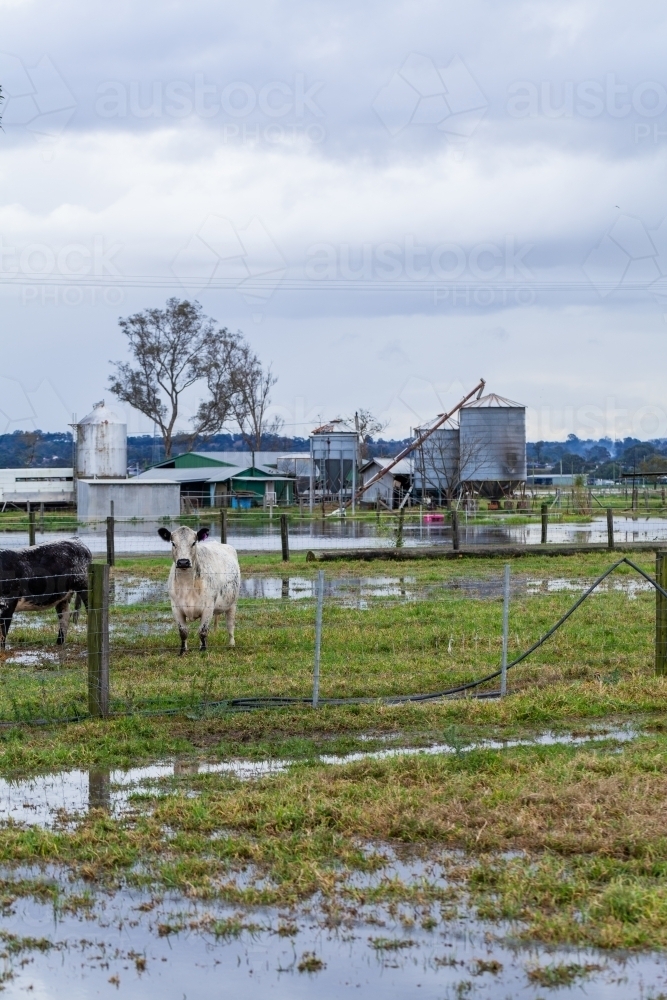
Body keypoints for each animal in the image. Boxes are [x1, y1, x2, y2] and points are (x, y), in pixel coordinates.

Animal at [158, 524, 241, 656]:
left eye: (193, 542)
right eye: (173, 543)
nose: (183, 562)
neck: (187, 585)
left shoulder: (208, 607)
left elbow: (203, 631)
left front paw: (202, 651)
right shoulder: (175, 607)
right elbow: (183, 632)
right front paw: (182, 651)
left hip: (232, 603)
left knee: (230, 625)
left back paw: (231, 644)